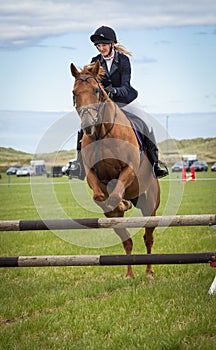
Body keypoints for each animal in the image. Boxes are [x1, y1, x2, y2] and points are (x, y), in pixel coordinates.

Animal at [70, 60, 159, 278]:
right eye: (74, 93)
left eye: (96, 90)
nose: (87, 126)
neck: (101, 133)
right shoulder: (92, 173)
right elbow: (100, 196)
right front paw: (118, 205)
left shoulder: (129, 169)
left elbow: (117, 193)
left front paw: (121, 203)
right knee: (127, 241)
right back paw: (129, 274)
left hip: (150, 206)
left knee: (148, 237)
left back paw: (149, 272)